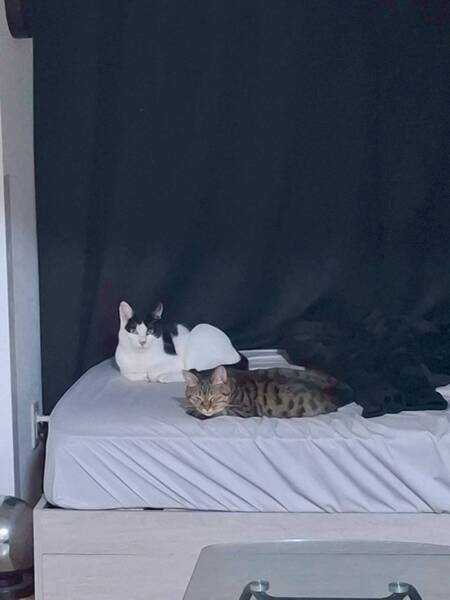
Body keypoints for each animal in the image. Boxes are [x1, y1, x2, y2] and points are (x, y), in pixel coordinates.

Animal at [183, 365, 343, 419]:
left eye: (214, 398)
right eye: (198, 398)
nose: (206, 408)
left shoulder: (243, 410)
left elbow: (221, 412)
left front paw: (195, 412)